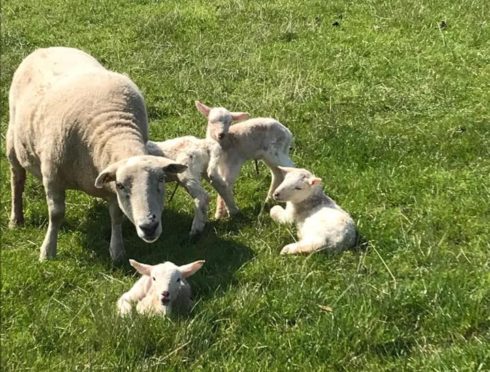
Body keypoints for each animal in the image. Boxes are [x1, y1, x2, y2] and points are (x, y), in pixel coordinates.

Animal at [6, 46, 188, 262]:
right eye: (121, 185)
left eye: (161, 180)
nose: (149, 227)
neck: (114, 129)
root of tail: (46, 48)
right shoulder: (52, 176)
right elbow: (56, 214)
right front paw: (47, 251)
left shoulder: (110, 183)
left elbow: (116, 216)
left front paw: (117, 252)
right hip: (12, 141)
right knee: (17, 179)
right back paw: (16, 219)